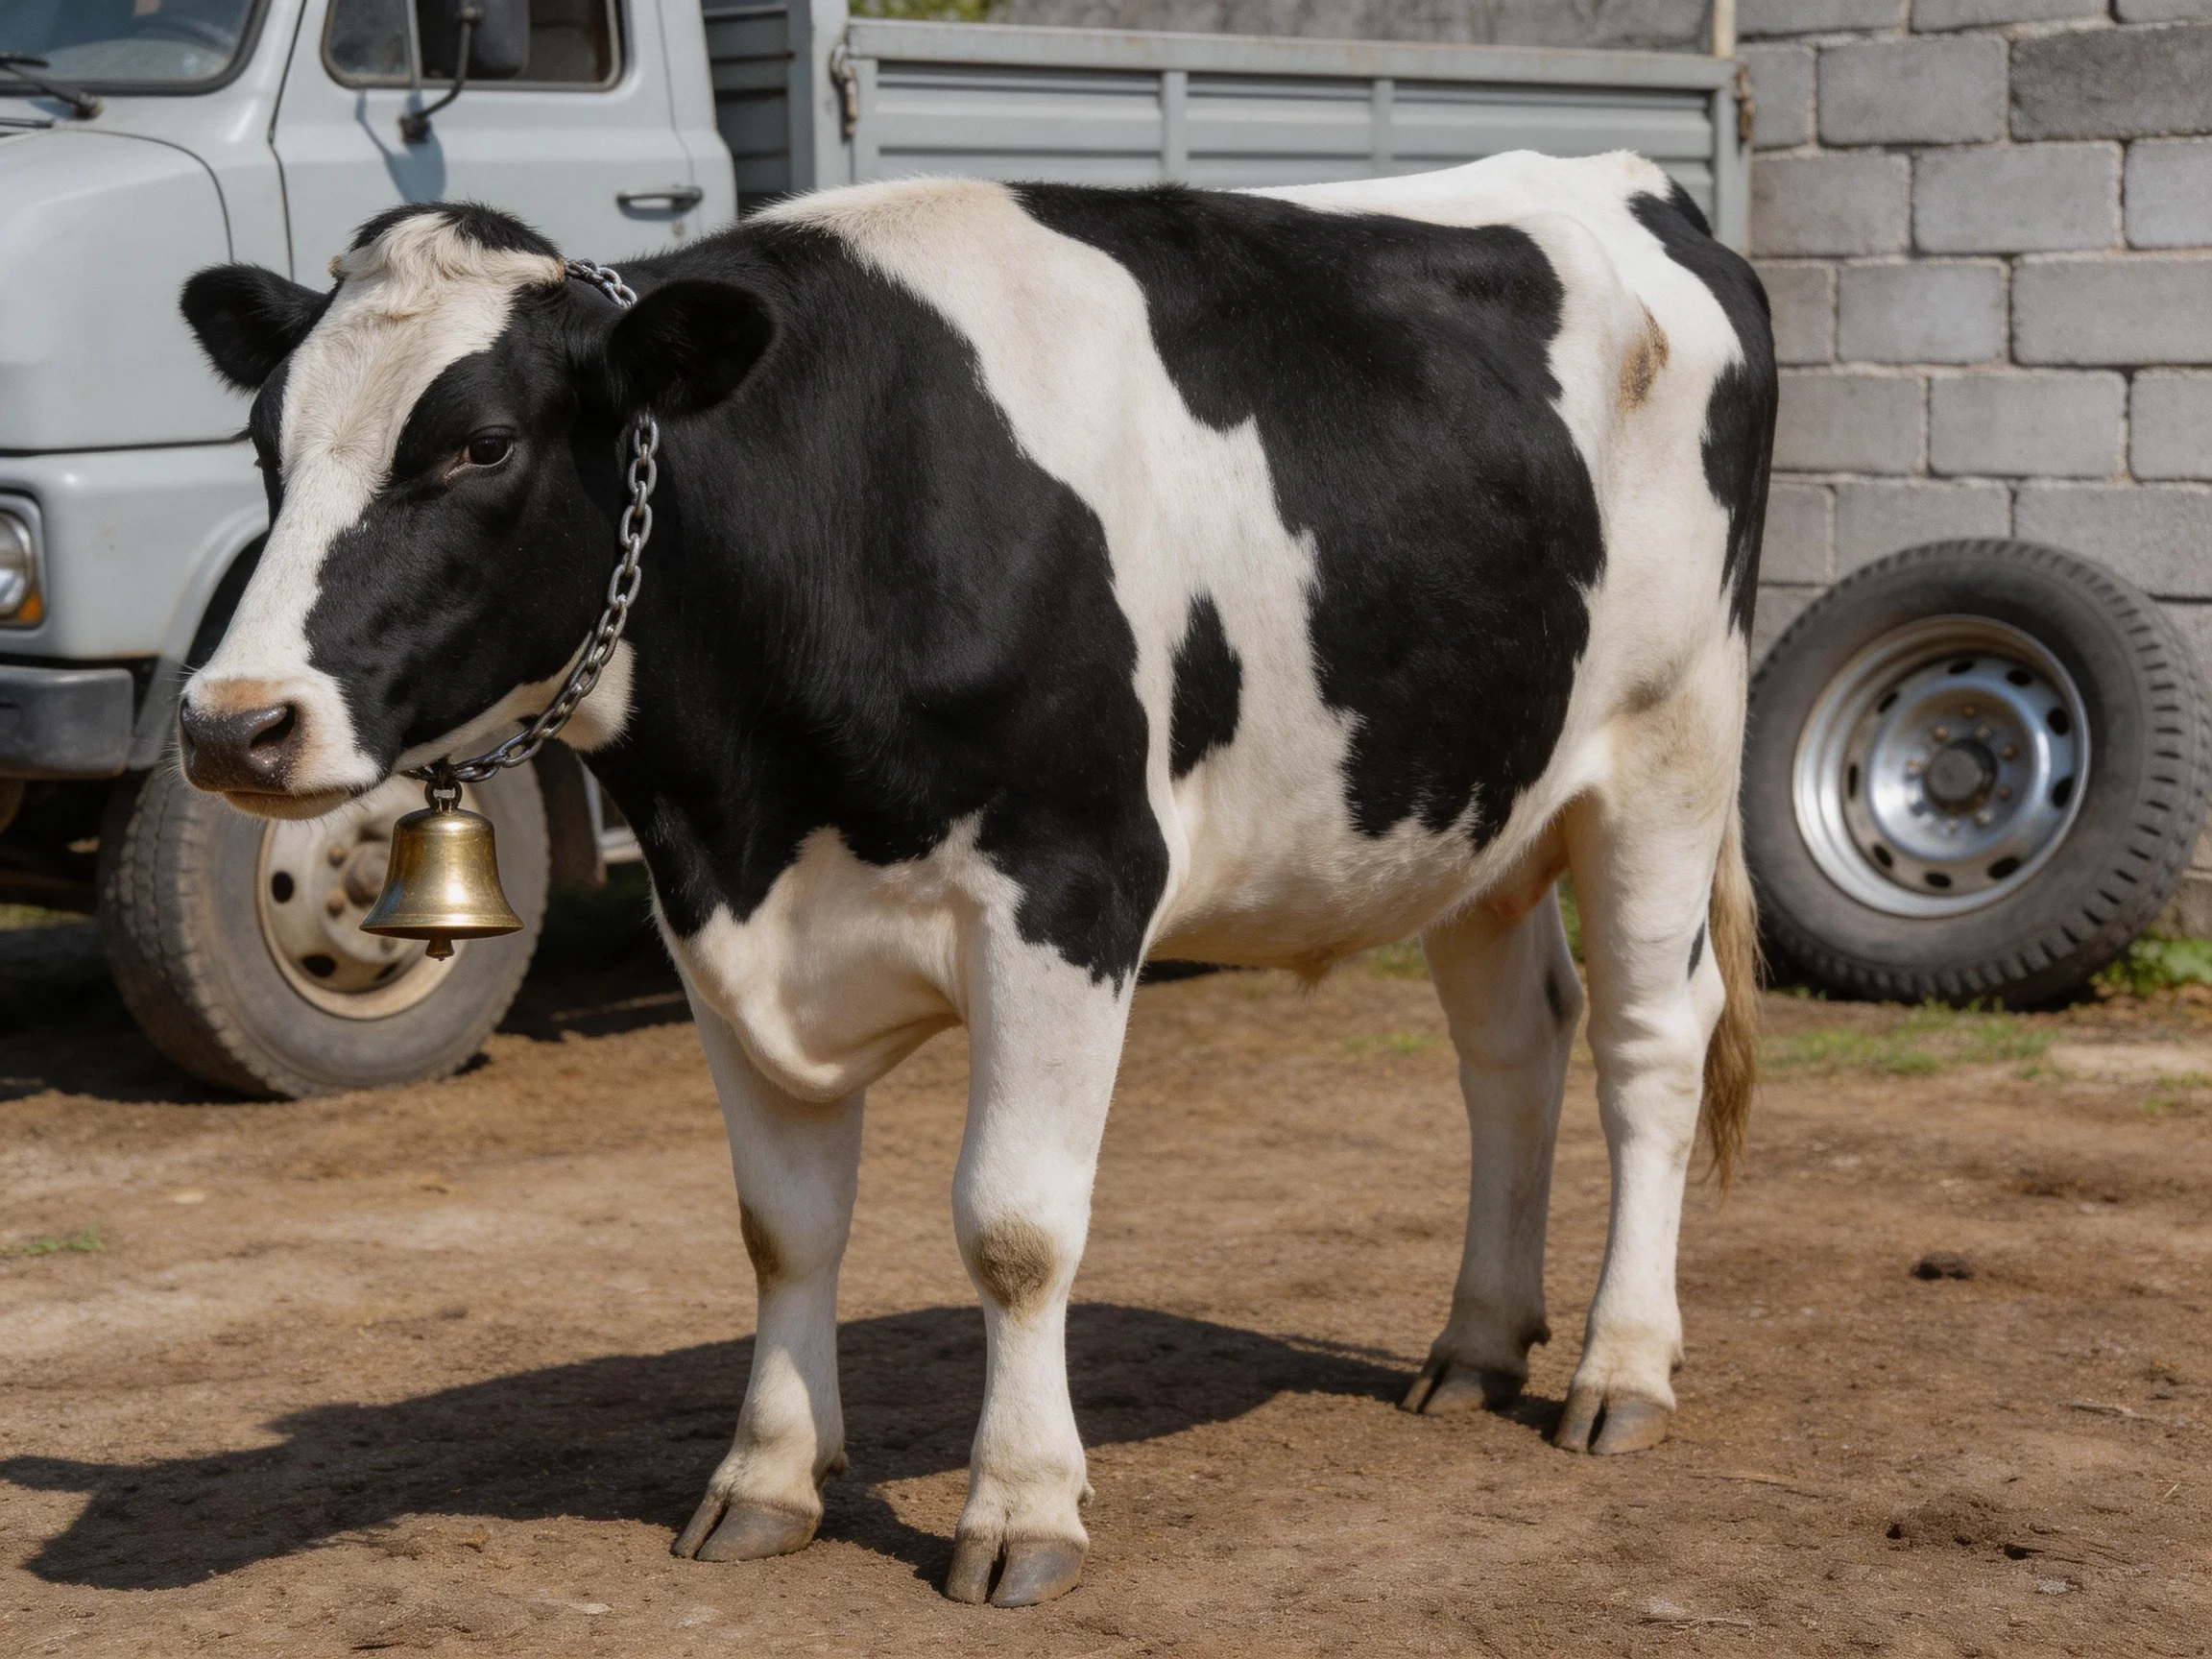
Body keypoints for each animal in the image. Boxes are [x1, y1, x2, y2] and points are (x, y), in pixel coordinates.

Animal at [173, 150, 1774, 1608]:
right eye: (263, 443)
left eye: (483, 446)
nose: (231, 721)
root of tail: (1627, 180)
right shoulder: (716, 923)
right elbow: (782, 1225)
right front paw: (766, 1480)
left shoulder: (1071, 888)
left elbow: (1013, 1228)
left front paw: (1021, 1509)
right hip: (1476, 797)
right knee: (1514, 1051)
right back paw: (1478, 1344)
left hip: (1669, 746)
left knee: (1648, 1043)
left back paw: (1622, 1369)